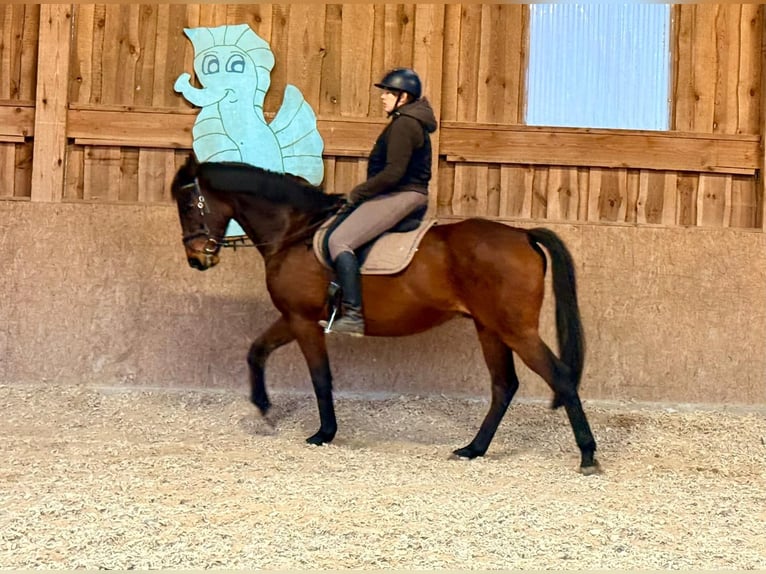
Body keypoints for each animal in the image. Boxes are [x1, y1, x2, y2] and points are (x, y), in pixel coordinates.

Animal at [171, 153, 599, 474]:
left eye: (189, 205)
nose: (196, 260)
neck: (295, 233)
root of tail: (522, 234)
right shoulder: (293, 318)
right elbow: (256, 351)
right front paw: (262, 408)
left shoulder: (303, 320)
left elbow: (320, 377)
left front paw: (323, 433)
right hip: (489, 328)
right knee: (503, 385)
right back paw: (473, 449)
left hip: (515, 330)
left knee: (559, 377)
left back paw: (587, 455)